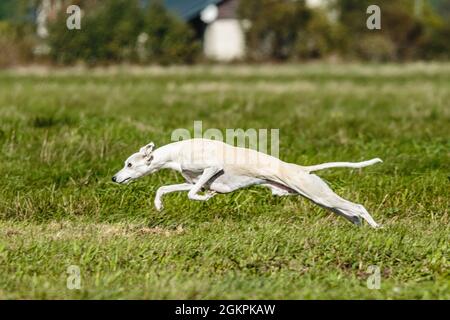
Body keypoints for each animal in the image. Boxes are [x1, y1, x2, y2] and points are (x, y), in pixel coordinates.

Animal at [110, 139, 382, 228]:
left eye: (129, 164)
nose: (114, 178)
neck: (177, 151)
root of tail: (303, 169)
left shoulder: (212, 168)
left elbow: (192, 194)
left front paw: (204, 198)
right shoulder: (197, 180)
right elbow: (166, 188)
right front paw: (158, 205)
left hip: (319, 195)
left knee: (358, 207)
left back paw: (377, 228)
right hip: (321, 199)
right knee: (350, 213)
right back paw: (360, 228)